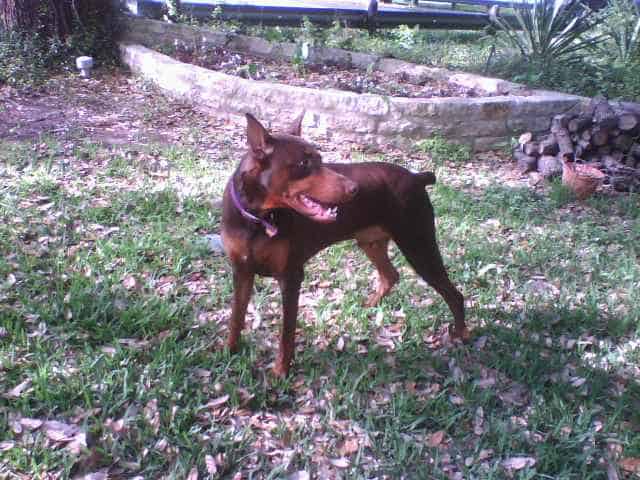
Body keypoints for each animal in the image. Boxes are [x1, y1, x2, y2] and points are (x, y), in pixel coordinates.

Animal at [220, 114, 464, 376]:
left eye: (320, 158)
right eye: (304, 163)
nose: (354, 189)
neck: (257, 219)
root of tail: (417, 177)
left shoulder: (291, 276)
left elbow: (286, 334)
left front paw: (280, 372)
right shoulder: (242, 271)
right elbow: (235, 317)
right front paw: (229, 352)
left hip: (418, 244)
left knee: (454, 294)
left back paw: (461, 335)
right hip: (372, 242)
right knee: (391, 275)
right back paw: (370, 305)